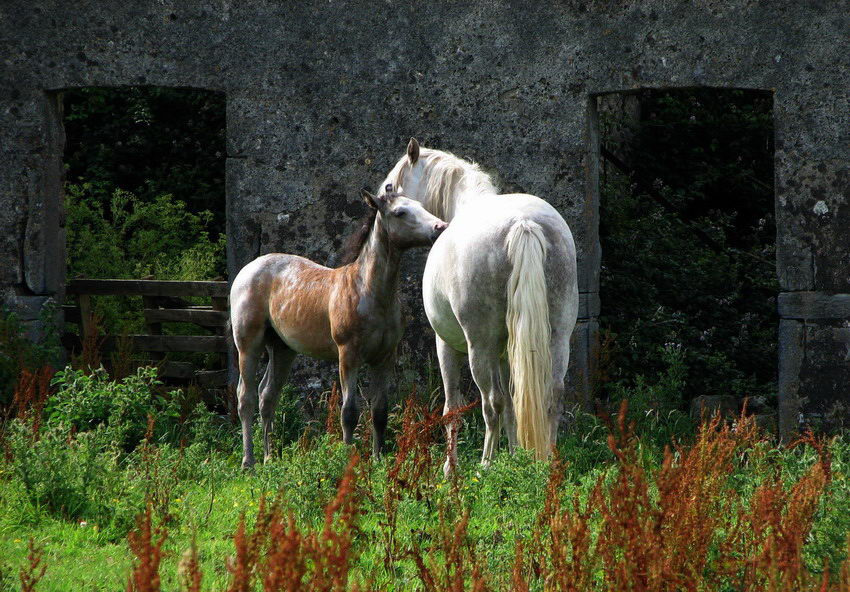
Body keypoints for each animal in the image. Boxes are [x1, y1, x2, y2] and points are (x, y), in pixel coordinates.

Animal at [229, 185, 448, 468]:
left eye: (420, 205)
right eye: (400, 212)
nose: (439, 227)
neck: (370, 291)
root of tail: (248, 269)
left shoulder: (384, 357)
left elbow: (379, 411)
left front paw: (377, 460)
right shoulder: (348, 355)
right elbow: (349, 412)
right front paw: (346, 459)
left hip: (282, 349)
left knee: (268, 395)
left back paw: (269, 458)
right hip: (249, 344)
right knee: (245, 397)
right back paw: (249, 461)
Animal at [380, 139, 580, 472]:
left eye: (390, 186)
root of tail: (523, 223)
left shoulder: (446, 345)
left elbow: (453, 407)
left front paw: (450, 469)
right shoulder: (506, 350)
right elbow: (513, 404)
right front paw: (515, 456)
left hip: (479, 347)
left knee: (491, 403)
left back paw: (485, 465)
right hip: (556, 339)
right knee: (550, 396)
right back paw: (546, 465)